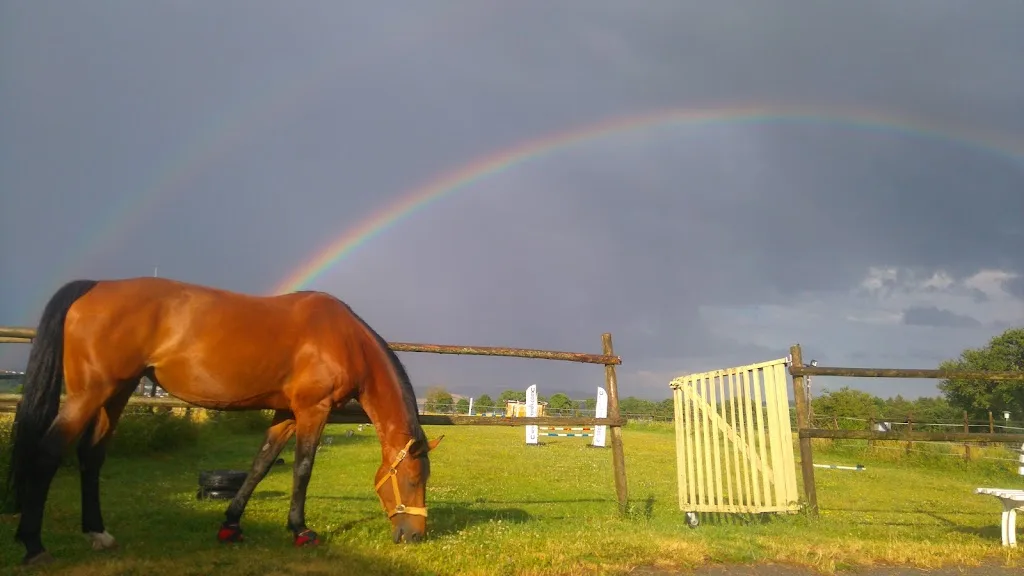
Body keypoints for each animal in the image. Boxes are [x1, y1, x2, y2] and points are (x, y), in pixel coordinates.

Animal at [3, 276, 443, 566]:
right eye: (413, 480)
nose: (414, 536)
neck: (343, 337)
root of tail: (94, 287)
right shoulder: (312, 410)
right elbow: (302, 469)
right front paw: (301, 531)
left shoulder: (286, 413)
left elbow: (261, 464)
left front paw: (231, 524)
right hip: (89, 394)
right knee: (49, 453)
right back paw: (33, 546)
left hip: (117, 392)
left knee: (91, 457)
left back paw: (99, 534)